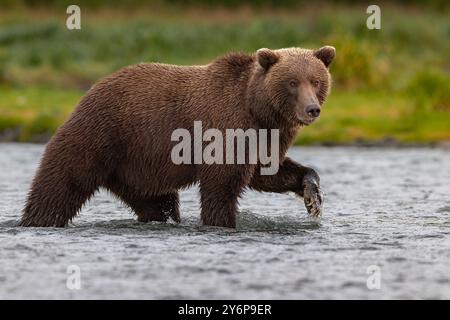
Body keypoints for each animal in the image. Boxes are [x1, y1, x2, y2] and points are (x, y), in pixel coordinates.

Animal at [20, 46, 334, 229]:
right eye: (292, 82)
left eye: (316, 80)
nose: (312, 109)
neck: (259, 110)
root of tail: (90, 89)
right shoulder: (227, 125)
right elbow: (222, 184)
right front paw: (223, 222)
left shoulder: (266, 137)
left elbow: (267, 172)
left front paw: (313, 195)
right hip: (101, 136)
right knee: (60, 185)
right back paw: (37, 221)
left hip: (138, 171)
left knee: (159, 203)